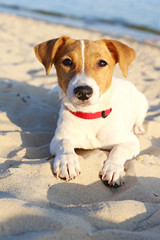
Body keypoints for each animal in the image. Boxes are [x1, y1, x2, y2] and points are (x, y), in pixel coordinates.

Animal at [34, 35, 148, 187]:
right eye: (67, 61)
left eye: (102, 63)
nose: (83, 91)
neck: (89, 116)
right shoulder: (57, 139)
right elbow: (64, 143)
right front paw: (67, 162)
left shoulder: (131, 141)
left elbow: (119, 150)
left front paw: (113, 169)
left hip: (142, 103)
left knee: (139, 119)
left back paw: (138, 127)